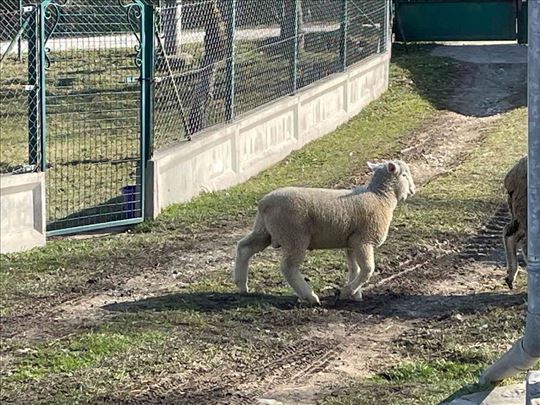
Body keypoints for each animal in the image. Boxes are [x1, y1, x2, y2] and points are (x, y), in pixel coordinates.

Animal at [234, 160, 416, 304]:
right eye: (404, 175)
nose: (413, 190)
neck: (380, 197)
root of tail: (264, 203)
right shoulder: (364, 240)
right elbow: (367, 270)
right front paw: (348, 292)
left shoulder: (351, 242)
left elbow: (354, 268)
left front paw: (355, 294)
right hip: (295, 237)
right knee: (288, 267)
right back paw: (310, 296)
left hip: (264, 230)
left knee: (245, 248)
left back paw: (241, 285)